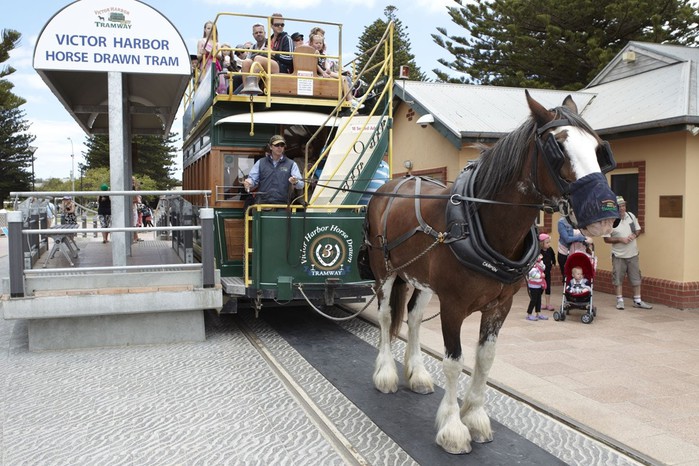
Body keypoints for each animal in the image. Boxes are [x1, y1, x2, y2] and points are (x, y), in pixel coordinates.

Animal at [364, 89, 620, 454]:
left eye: (599, 148)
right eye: (558, 147)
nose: (607, 214)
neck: (480, 222)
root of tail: (393, 184)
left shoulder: (500, 305)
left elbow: (485, 359)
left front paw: (474, 416)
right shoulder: (453, 306)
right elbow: (454, 361)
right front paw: (453, 428)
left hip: (421, 280)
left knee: (412, 317)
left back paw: (416, 374)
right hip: (384, 271)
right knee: (386, 316)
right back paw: (385, 372)